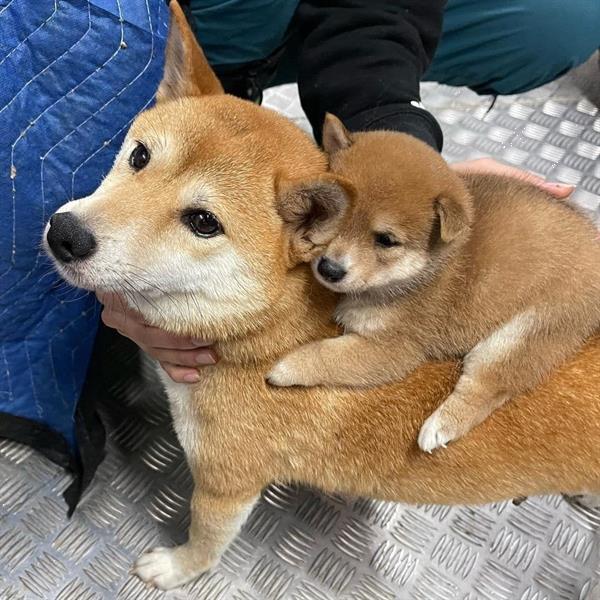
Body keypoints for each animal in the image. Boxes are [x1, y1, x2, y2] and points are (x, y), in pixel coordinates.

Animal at [44, 1, 600, 592]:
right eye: (140, 156)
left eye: (203, 222)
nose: (65, 234)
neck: (266, 333)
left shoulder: (226, 484)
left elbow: (205, 542)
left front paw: (176, 568)